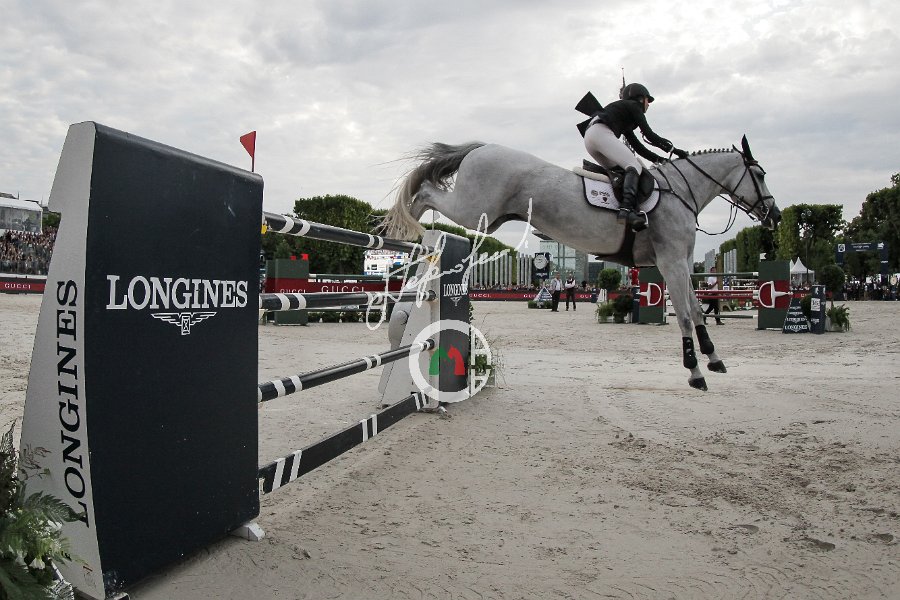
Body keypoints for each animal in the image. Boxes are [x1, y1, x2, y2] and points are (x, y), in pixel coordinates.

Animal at [381, 136, 780, 390]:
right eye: (760, 175)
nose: (774, 215)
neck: (681, 192)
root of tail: (483, 147)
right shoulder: (671, 263)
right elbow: (683, 315)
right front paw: (695, 372)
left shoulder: (681, 263)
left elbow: (697, 310)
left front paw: (713, 359)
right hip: (473, 209)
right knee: (426, 192)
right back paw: (405, 227)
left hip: (486, 217)